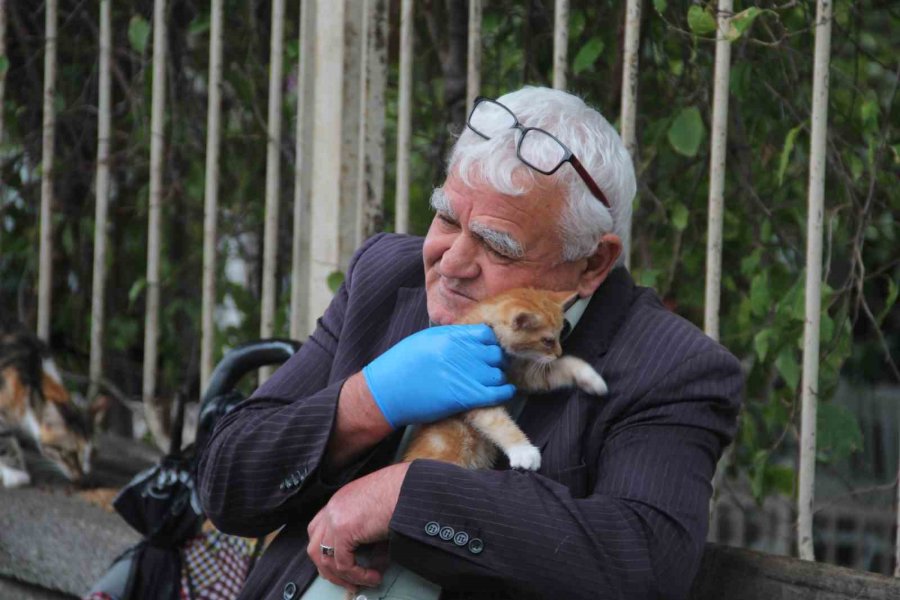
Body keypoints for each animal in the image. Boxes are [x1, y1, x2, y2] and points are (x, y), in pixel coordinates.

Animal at [404, 288, 608, 472]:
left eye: (559, 336)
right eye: (547, 341)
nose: (559, 353)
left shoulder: (523, 375)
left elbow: (562, 367)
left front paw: (591, 378)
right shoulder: (474, 392)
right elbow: (497, 421)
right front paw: (523, 450)